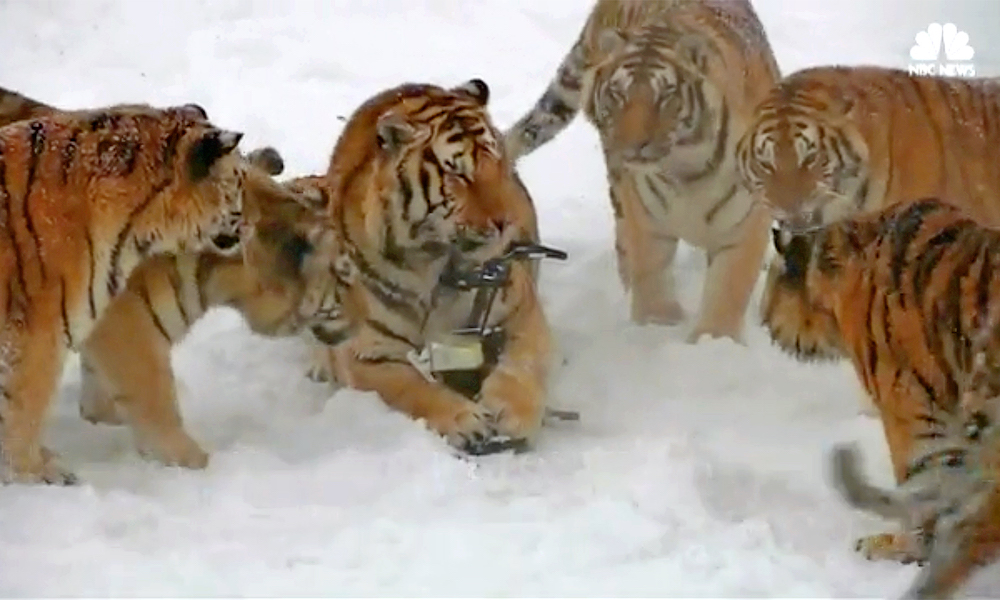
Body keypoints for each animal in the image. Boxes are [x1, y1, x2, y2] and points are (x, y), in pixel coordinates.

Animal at [76, 149, 363, 470]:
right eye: (344, 277)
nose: (365, 319)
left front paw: (100, 417)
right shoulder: (128, 324)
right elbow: (154, 398)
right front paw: (197, 464)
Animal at [308, 77, 552, 456]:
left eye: (500, 164)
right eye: (458, 174)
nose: (507, 222)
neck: (440, 267)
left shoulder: (522, 312)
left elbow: (523, 364)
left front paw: (512, 413)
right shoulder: (367, 353)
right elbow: (412, 389)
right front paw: (463, 420)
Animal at [502, 0, 780, 343]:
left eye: (665, 97)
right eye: (618, 94)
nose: (631, 145)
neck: (688, 169)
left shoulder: (745, 225)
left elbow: (728, 290)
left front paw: (714, 341)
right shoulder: (647, 220)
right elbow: (651, 273)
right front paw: (658, 327)